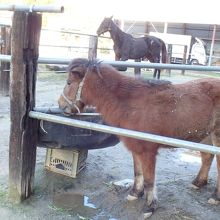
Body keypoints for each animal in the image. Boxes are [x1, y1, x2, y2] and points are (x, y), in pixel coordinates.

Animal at [58, 58, 220, 218]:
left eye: (69, 83)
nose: (60, 104)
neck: (130, 104)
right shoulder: (136, 147)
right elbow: (138, 173)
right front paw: (135, 193)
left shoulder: (148, 151)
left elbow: (149, 179)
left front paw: (149, 206)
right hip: (205, 136)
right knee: (207, 157)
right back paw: (198, 183)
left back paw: (215, 196)